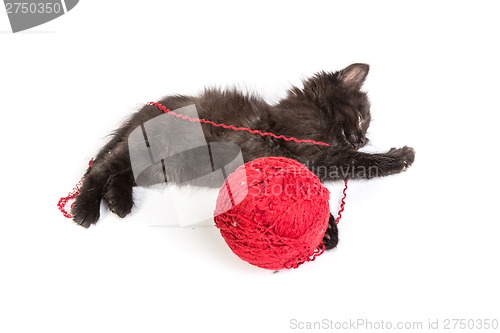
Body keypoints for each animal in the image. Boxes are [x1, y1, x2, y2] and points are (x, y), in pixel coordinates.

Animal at [70, 64, 414, 246]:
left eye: (365, 126)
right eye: (361, 117)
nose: (362, 138)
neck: (312, 113)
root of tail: (148, 109)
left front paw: (323, 231)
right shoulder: (313, 155)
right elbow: (357, 163)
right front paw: (400, 157)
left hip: (161, 168)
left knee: (119, 173)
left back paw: (118, 201)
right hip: (152, 146)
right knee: (99, 169)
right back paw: (86, 209)